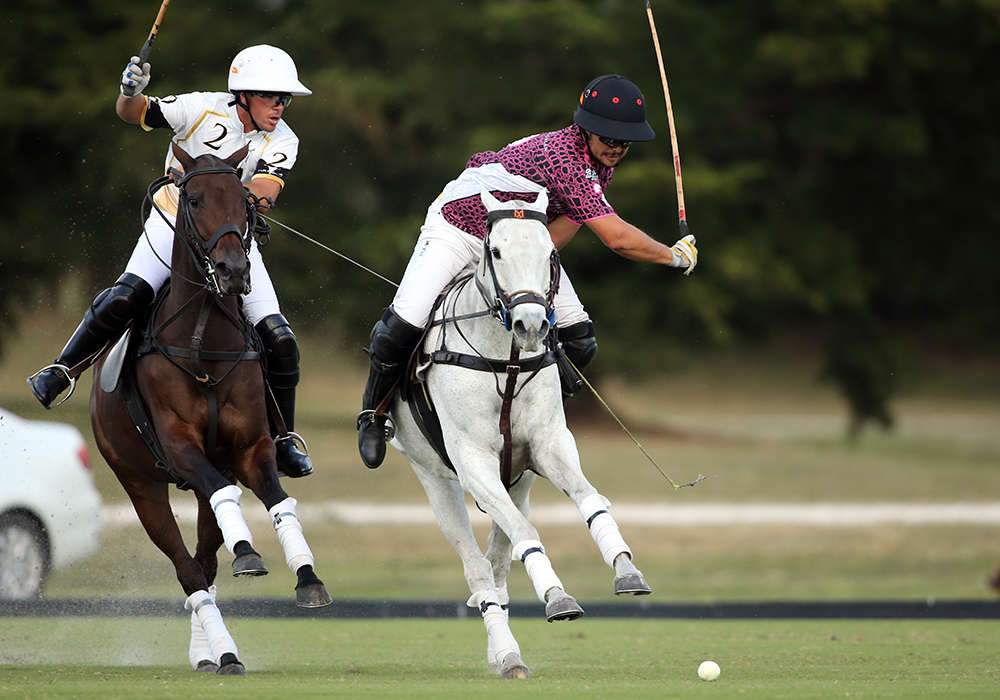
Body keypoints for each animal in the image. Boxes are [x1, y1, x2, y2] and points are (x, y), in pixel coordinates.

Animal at [91, 142, 330, 672]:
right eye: (195, 199)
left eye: (245, 201)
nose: (234, 272)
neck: (204, 341)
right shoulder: (181, 446)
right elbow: (223, 511)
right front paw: (251, 556)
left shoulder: (250, 449)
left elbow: (279, 501)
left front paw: (307, 578)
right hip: (140, 484)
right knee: (189, 571)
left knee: (205, 559)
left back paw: (212, 652)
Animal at [386, 187, 652, 680]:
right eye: (495, 250)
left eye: (551, 254)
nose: (531, 326)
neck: (506, 362)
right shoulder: (473, 463)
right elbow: (525, 534)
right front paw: (559, 598)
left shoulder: (548, 445)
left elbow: (590, 499)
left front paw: (626, 570)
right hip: (436, 480)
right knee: (478, 568)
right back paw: (509, 654)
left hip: (519, 480)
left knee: (496, 565)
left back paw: (504, 652)